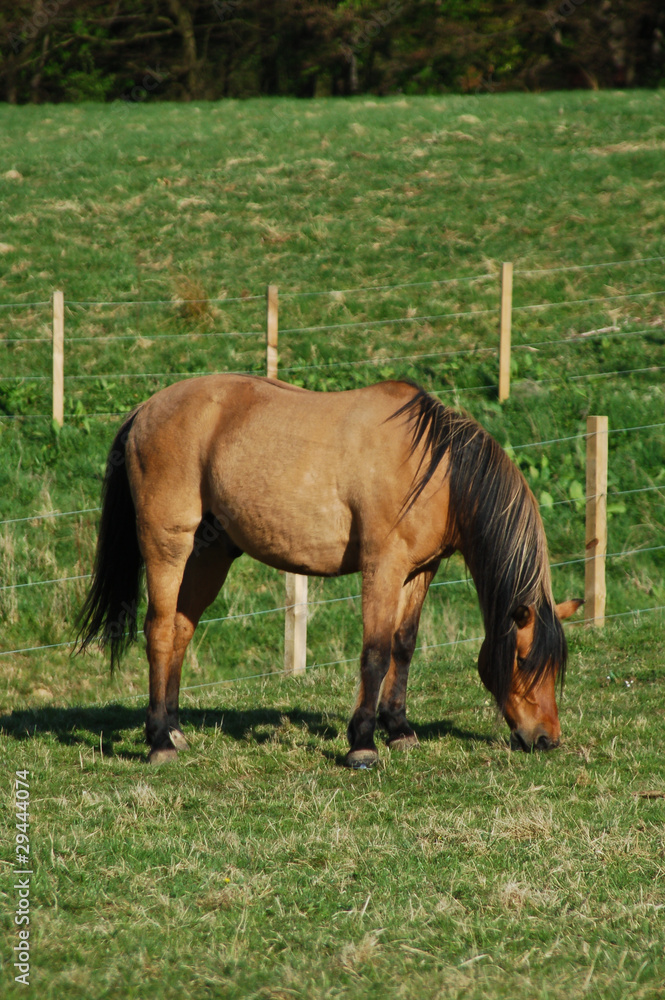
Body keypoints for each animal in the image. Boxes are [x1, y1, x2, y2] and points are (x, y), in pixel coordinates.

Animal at [76, 375, 582, 767]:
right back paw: (159, 741)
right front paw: (362, 743)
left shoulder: (421, 571)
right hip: (169, 545)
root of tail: (145, 410)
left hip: (208, 555)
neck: (438, 470)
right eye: (522, 660)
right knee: (160, 630)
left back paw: (176, 729)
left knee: (181, 629)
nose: (546, 738)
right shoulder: (382, 566)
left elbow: (403, 646)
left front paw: (399, 729)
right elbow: (375, 652)